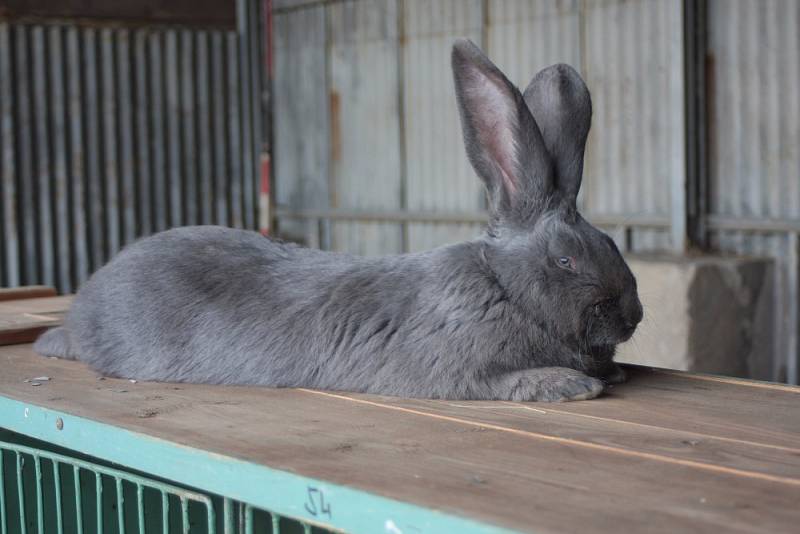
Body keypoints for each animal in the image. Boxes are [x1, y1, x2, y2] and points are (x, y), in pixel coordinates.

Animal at [32, 39, 644, 402]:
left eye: (612, 244)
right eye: (565, 259)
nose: (634, 316)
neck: (503, 285)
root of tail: (82, 309)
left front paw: (607, 371)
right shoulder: (457, 371)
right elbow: (506, 383)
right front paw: (572, 384)